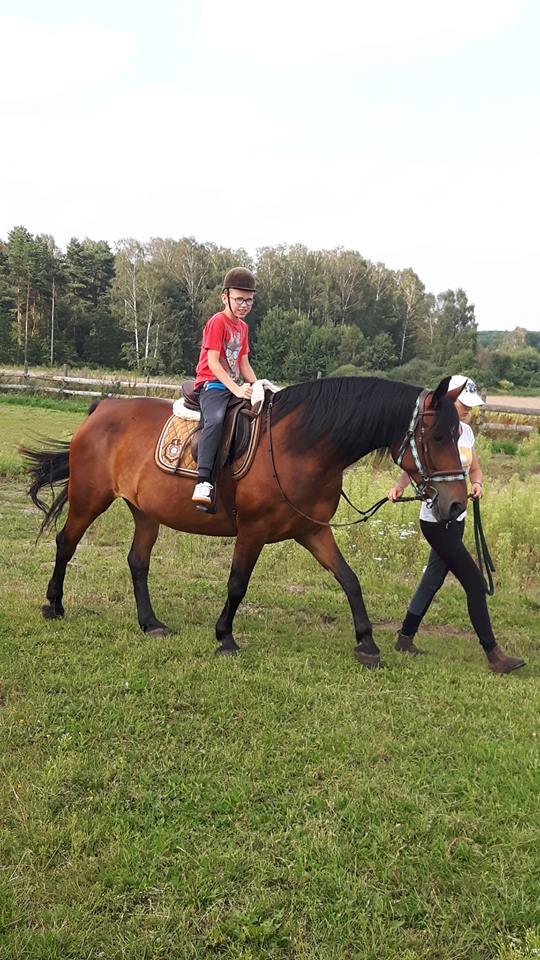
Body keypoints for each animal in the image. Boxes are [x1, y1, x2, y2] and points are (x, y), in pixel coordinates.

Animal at [23, 375, 467, 669]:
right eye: (439, 437)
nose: (457, 504)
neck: (302, 446)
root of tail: (103, 407)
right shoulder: (252, 531)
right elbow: (237, 584)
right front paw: (225, 637)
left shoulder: (313, 531)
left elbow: (349, 579)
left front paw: (368, 643)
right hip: (90, 499)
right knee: (66, 542)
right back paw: (54, 604)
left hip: (145, 511)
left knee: (137, 562)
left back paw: (150, 623)